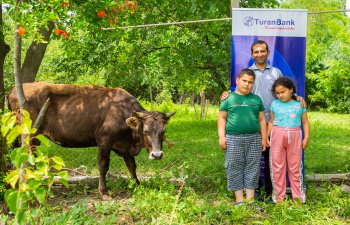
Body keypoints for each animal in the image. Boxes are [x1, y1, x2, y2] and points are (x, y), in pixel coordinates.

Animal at [8, 82, 175, 195]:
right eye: (146, 131)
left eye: (163, 131)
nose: (157, 155)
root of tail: (18, 88)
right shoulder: (104, 141)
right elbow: (103, 166)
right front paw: (103, 191)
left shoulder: (125, 147)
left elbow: (132, 167)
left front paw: (138, 185)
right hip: (30, 133)